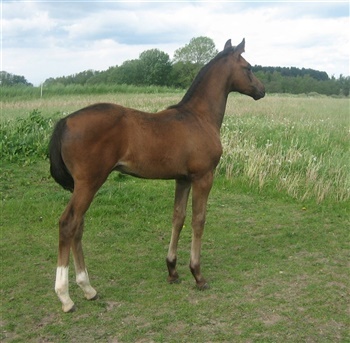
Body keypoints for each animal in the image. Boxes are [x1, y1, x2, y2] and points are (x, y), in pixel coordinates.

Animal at [50, 39, 266, 314]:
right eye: (248, 67)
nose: (262, 89)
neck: (199, 117)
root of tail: (65, 121)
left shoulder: (182, 179)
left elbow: (178, 217)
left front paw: (172, 270)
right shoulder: (203, 177)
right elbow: (198, 220)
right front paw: (198, 275)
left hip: (83, 186)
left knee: (78, 226)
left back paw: (88, 289)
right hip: (89, 183)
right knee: (68, 224)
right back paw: (66, 297)